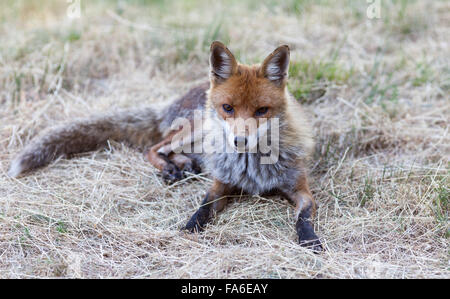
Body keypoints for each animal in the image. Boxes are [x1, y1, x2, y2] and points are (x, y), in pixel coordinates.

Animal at [7, 41, 324, 251]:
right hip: (194, 127)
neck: (252, 169)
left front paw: (309, 238)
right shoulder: (220, 184)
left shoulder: (301, 190)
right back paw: (172, 169)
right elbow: (203, 207)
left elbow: (303, 216)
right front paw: (189, 227)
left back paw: (183, 165)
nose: (239, 142)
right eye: (228, 108)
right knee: (155, 147)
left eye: (261, 111)